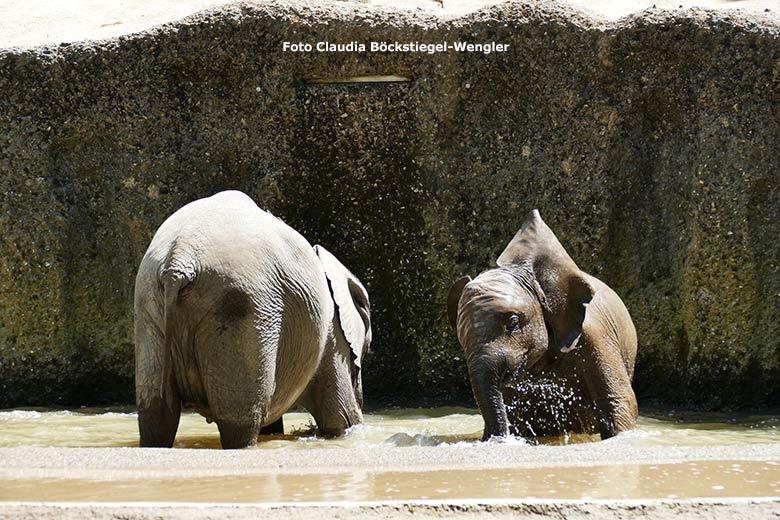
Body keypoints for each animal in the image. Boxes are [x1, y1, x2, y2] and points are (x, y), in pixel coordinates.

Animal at [134, 190, 372, 446]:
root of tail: (180, 259)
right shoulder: (332, 335)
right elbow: (342, 419)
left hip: (149, 304)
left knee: (157, 420)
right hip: (246, 308)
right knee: (239, 423)